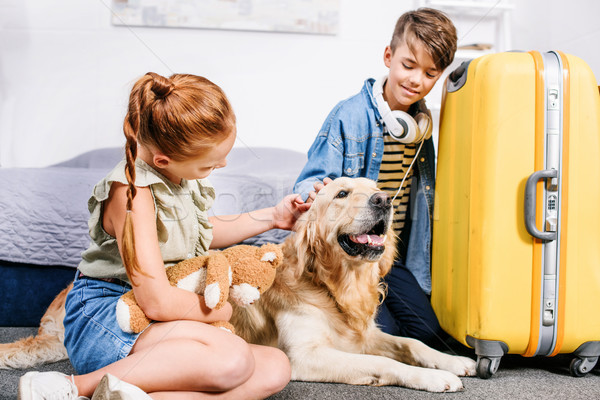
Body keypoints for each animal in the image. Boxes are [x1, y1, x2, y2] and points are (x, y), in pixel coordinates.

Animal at [2, 177, 476, 390]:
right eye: (342, 194)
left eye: (374, 187)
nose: (384, 201)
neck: (330, 285)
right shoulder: (306, 356)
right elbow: (388, 364)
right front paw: (434, 379)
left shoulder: (363, 335)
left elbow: (411, 344)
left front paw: (453, 362)